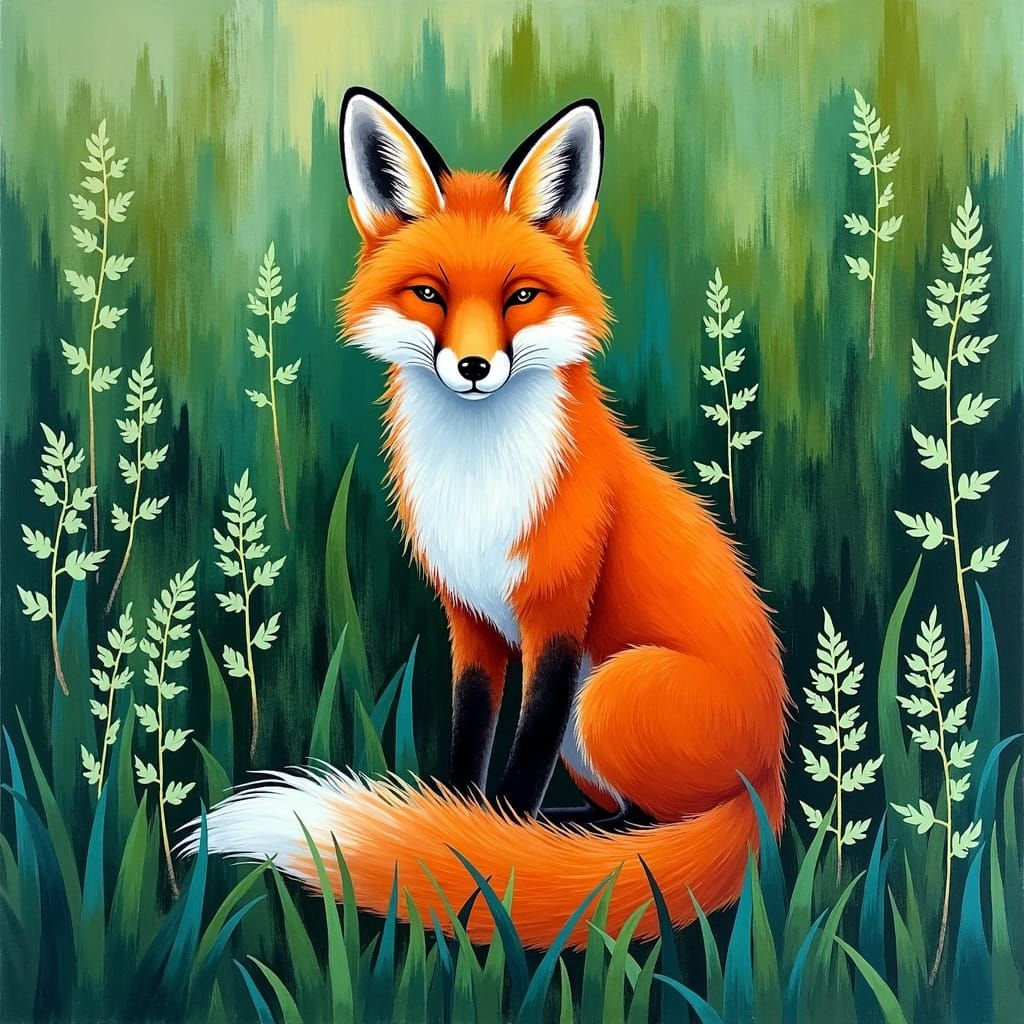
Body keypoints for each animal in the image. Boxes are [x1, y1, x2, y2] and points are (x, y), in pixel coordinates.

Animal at [189, 87, 788, 950]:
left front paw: (486, 857)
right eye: (430, 294)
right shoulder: (466, 619)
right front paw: (453, 829)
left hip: (608, 696)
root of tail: (771, 779)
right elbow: (470, 741)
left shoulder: (557, 618)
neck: (476, 485)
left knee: (654, 825)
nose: (473, 368)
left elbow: (518, 763)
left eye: (520, 296)